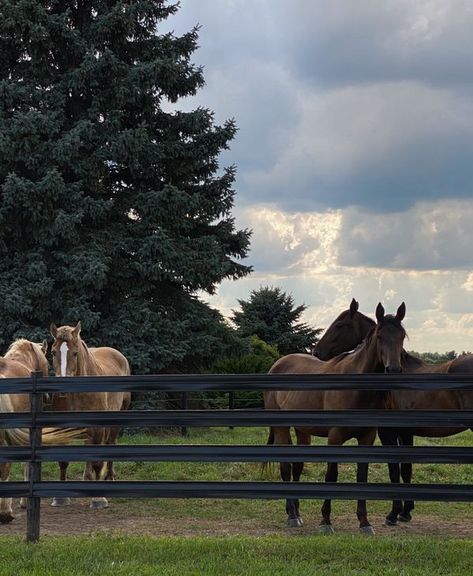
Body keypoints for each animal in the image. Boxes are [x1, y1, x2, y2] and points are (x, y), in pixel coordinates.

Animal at [49, 322, 131, 510]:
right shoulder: (61, 429)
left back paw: (109, 478)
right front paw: (60, 498)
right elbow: (63, 461)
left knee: (111, 444)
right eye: (53, 352)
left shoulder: (98, 428)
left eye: (75, 353)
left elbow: (97, 462)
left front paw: (98, 499)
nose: (62, 387)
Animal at [266, 304, 406, 532]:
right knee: (285, 467)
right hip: (281, 428)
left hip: (302, 431)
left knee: (297, 466)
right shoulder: (335, 437)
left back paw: (296, 512)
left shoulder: (367, 438)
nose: (393, 369)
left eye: (402, 336)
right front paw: (325, 520)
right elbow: (331, 475)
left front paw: (364, 522)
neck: (356, 389)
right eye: (379, 336)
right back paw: (292, 516)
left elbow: (362, 476)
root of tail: (277, 364)